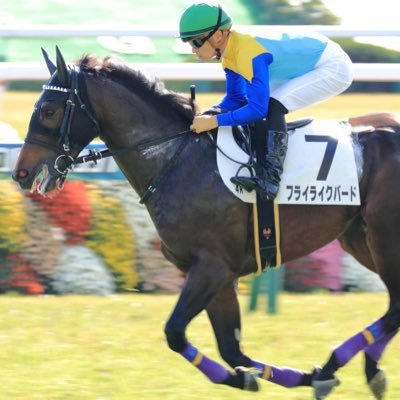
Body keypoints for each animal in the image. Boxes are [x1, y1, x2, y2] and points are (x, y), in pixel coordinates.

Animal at [10, 47, 400, 400]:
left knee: (396, 307)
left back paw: (338, 364)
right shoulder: (217, 275)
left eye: (48, 110)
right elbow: (231, 349)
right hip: (360, 238)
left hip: (384, 238)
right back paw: (363, 369)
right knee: (395, 307)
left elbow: (175, 333)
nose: (20, 173)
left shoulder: (212, 267)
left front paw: (291, 376)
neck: (177, 158)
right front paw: (274, 377)